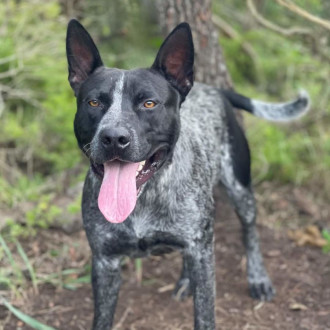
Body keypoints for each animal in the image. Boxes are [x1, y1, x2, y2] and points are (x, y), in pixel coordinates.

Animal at [66, 19, 310, 328]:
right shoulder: (104, 261)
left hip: (239, 188)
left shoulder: (203, 255)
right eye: (94, 103)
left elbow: (205, 315)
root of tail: (214, 90)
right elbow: (102, 318)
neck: (144, 197)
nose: (113, 137)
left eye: (149, 103)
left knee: (250, 231)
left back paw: (257, 277)